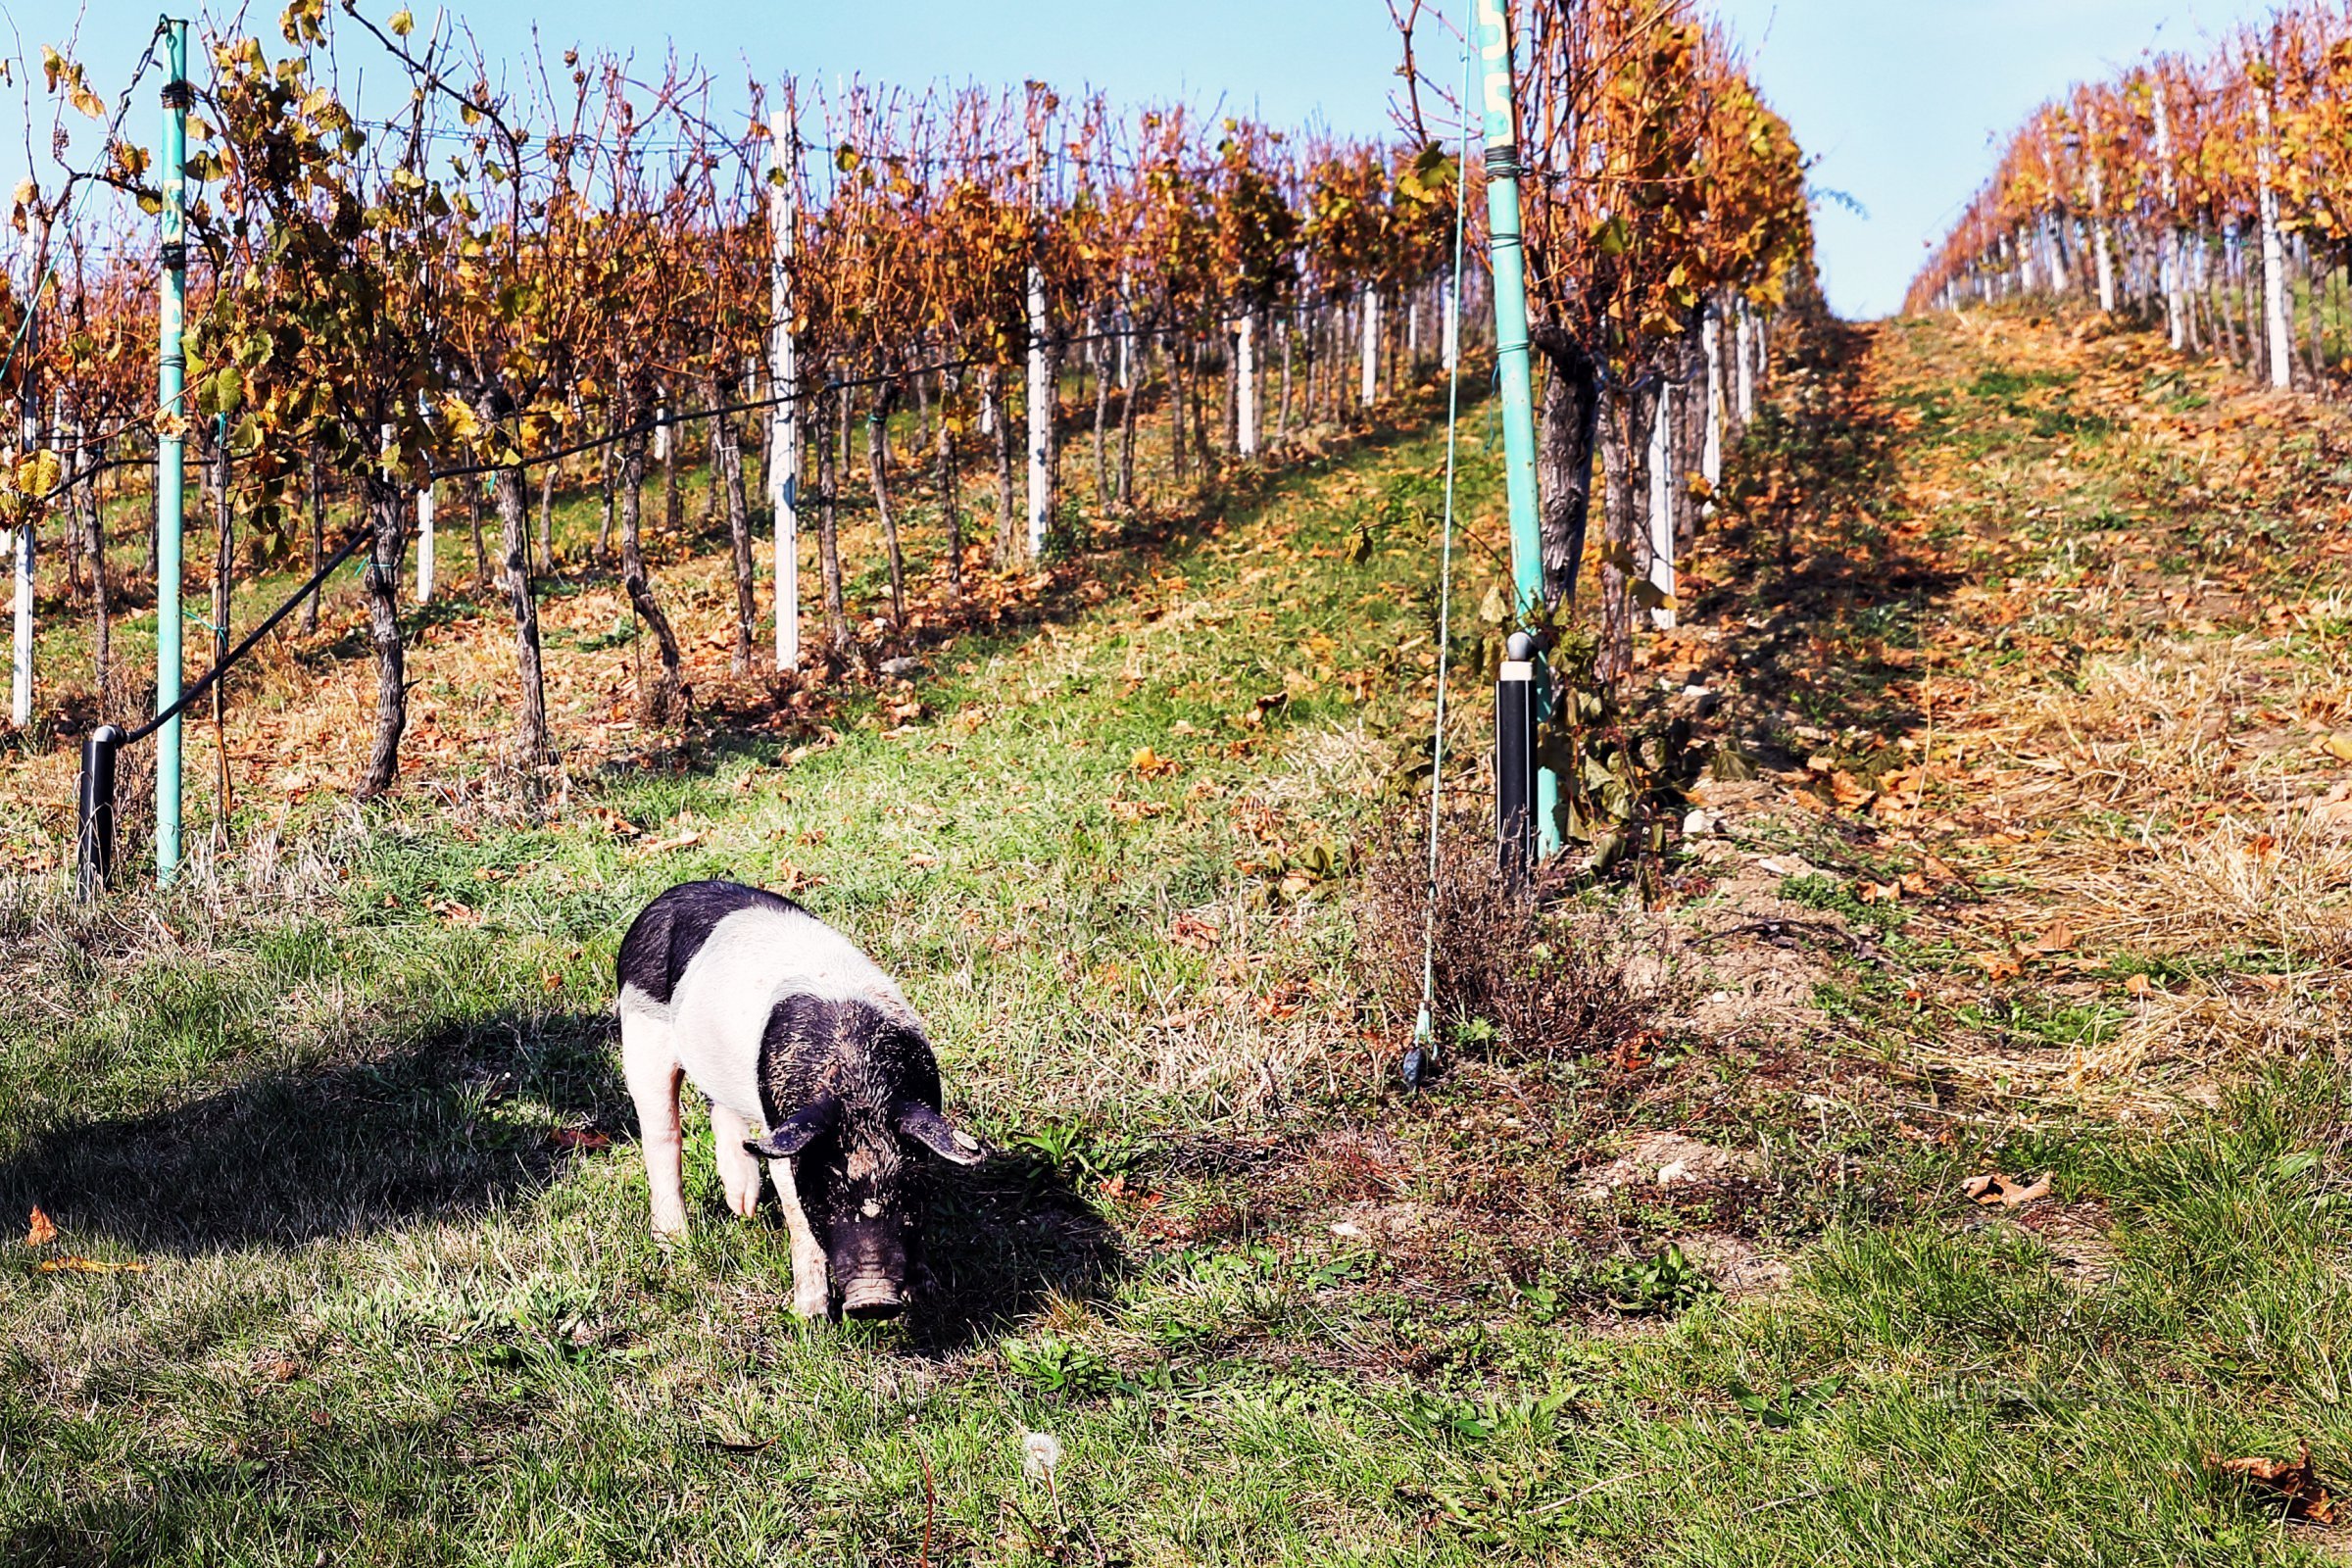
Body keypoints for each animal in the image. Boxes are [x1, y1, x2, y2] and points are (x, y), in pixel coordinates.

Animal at [612, 879, 988, 1316]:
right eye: (826, 1189)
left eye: (908, 1188)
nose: (873, 1299)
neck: (856, 1081)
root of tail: (673, 893)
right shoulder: (788, 1134)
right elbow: (796, 1217)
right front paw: (809, 1316)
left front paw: (927, 1294)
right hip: (641, 1032)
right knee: (661, 1136)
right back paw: (676, 1242)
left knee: (723, 1112)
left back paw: (743, 1208)